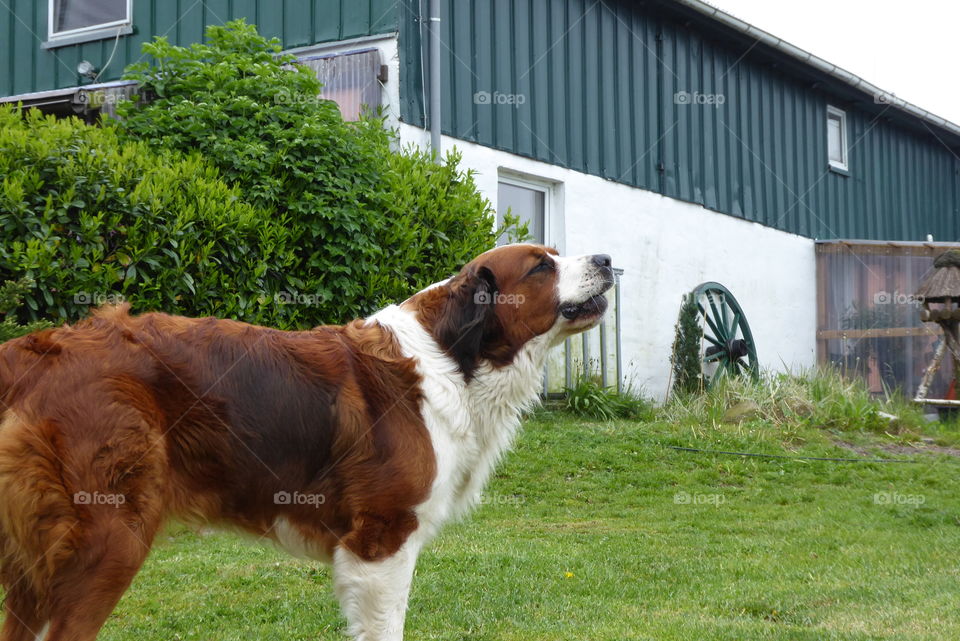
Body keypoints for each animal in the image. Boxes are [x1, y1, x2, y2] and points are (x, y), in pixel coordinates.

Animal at [0, 242, 616, 636]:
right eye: (541, 266)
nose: (608, 260)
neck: (452, 359)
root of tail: (38, 349)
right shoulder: (381, 542)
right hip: (109, 539)